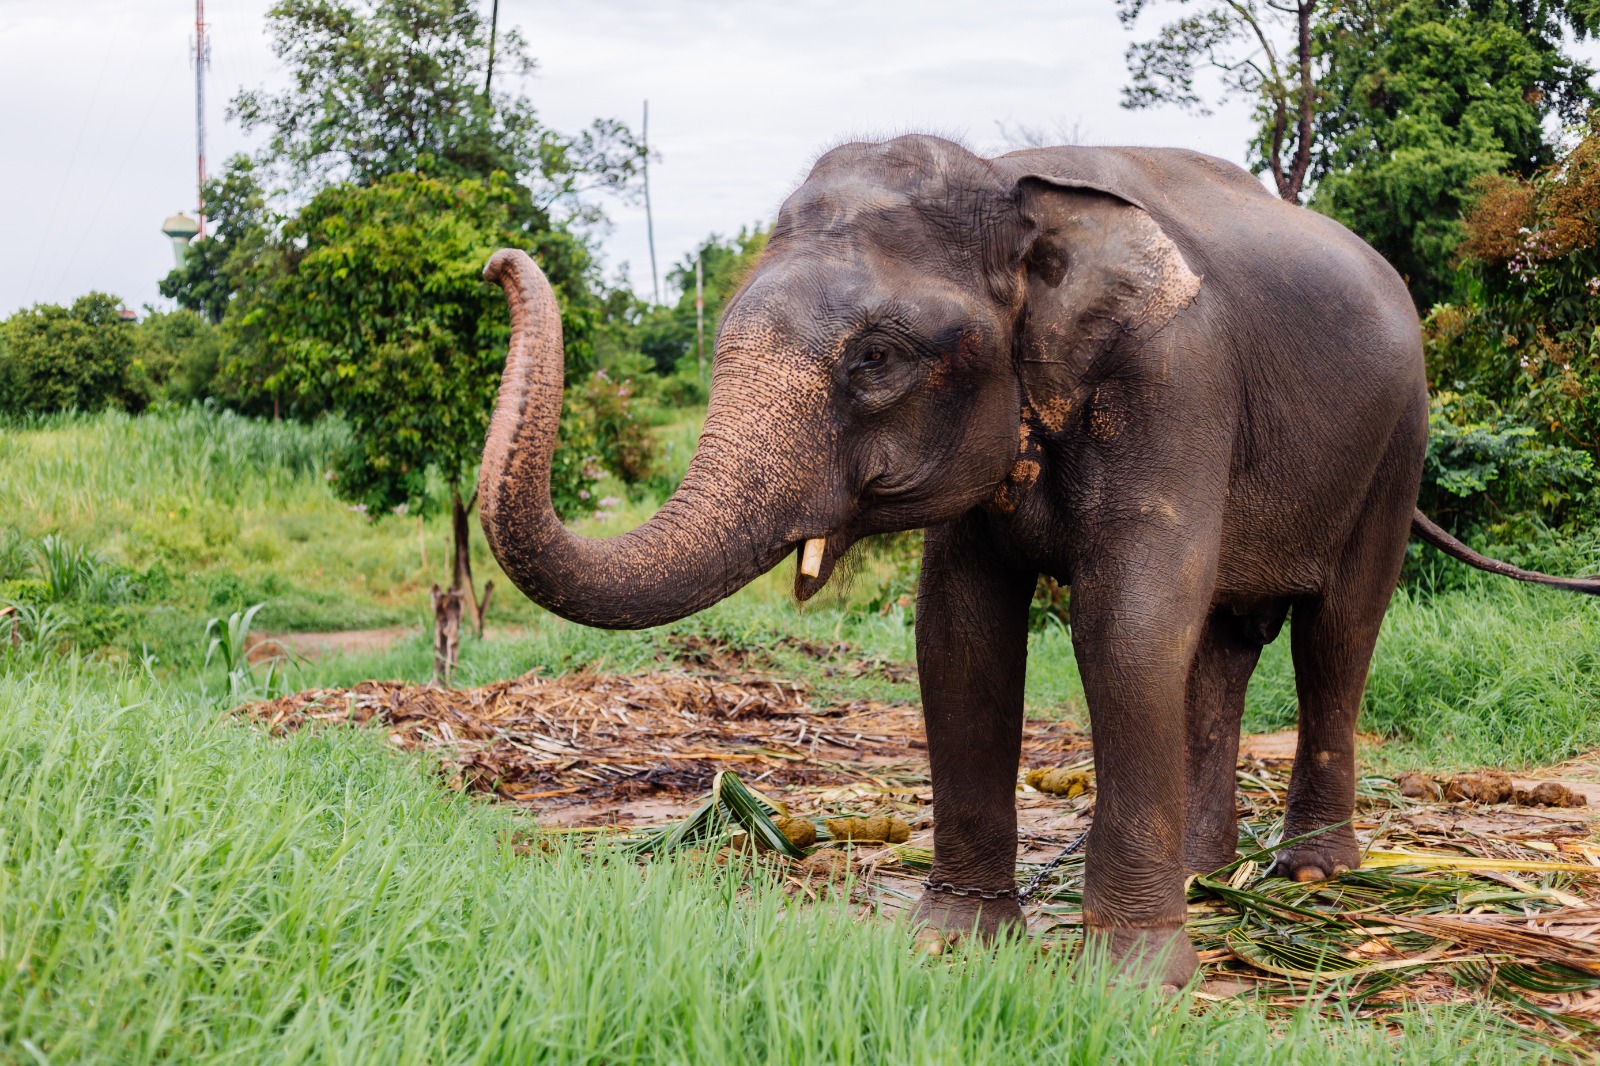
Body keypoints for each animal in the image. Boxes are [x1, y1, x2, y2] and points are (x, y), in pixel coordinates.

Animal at [476, 134, 1600, 987]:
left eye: (875, 358)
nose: (495, 263)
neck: (1017, 184)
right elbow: (959, 631)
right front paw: (952, 944)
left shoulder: (1177, 380)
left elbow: (1126, 620)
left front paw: (1136, 979)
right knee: (1225, 644)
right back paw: (1207, 873)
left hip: (1395, 445)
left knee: (1337, 634)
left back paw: (1308, 879)